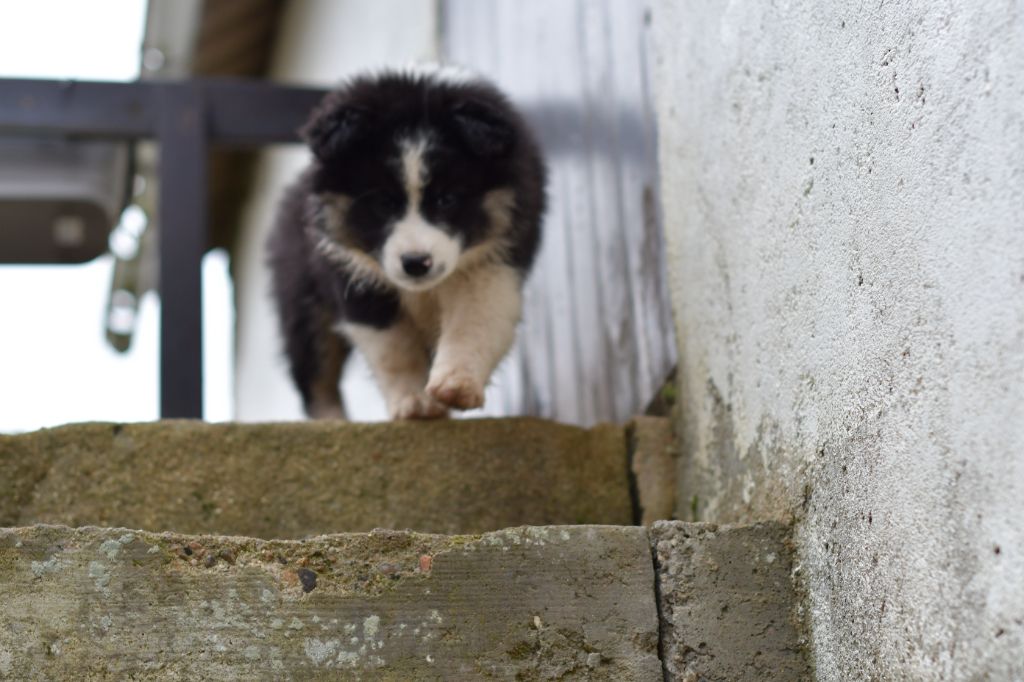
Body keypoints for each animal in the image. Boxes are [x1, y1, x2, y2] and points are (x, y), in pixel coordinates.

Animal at [268, 70, 548, 419]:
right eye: (384, 202)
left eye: (447, 199)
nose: (416, 263)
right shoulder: (354, 277)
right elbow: (393, 347)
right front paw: (415, 401)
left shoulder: (494, 264)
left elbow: (474, 321)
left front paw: (456, 385)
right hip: (302, 299)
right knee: (315, 372)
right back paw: (332, 419)